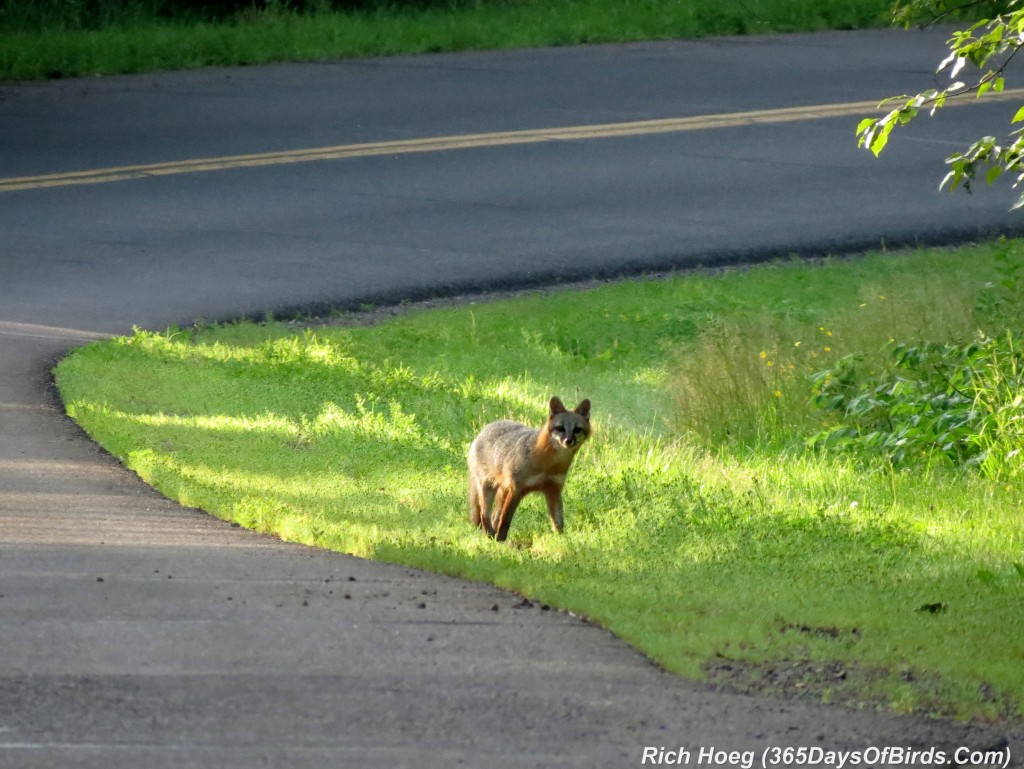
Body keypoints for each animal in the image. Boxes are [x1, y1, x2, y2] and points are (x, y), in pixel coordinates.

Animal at [466, 397, 589, 540]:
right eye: (560, 428)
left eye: (577, 429)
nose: (568, 441)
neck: (549, 463)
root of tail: (484, 429)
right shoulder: (516, 489)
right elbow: (505, 520)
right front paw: (501, 540)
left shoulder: (553, 490)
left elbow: (558, 523)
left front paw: (562, 540)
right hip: (488, 489)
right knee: (484, 515)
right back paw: (491, 536)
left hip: (503, 491)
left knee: (495, 516)